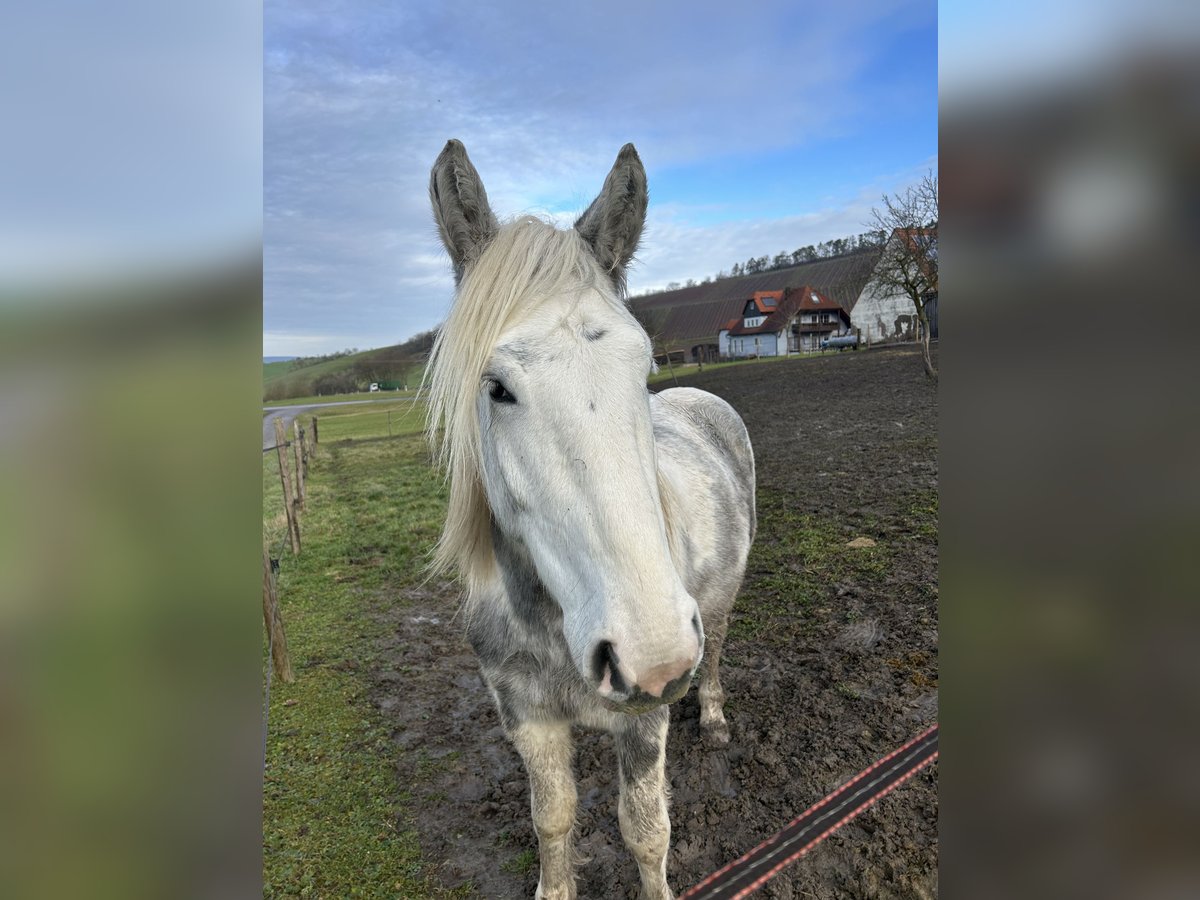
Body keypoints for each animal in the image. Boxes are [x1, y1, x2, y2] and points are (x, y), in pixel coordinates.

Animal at [427, 141, 753, 900]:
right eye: (497, 388)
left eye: (643, 368)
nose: (654, 654)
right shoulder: (527, 717)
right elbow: (553, 818)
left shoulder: (645, 716)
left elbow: (646, 830)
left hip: (717, 608)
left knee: (720, 650)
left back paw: (714, 716)